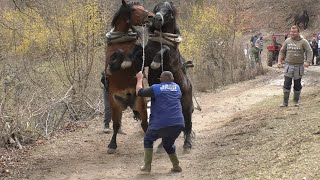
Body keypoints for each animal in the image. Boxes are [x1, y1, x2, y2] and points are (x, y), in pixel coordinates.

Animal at [105, 0, 154, 155]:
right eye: (134, 10)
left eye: (142, 7)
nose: (151, 17)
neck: (122, 41)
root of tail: (128, 101)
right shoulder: (110, 66)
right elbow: (119, 56)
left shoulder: (138, 64)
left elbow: (137, 58)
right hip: (116, 105)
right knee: (116, 125)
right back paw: (112, 145)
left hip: (141, 104)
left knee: (145, 124)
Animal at [144, 2, 194, 152]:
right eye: (156, 9)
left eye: (169, 12)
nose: (156, 19)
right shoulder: (146, 54)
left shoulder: (170, 61)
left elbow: (165, 49)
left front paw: (156, 62)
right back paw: (161, 145)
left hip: (186, 106)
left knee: (188, 123)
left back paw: (187, 144)